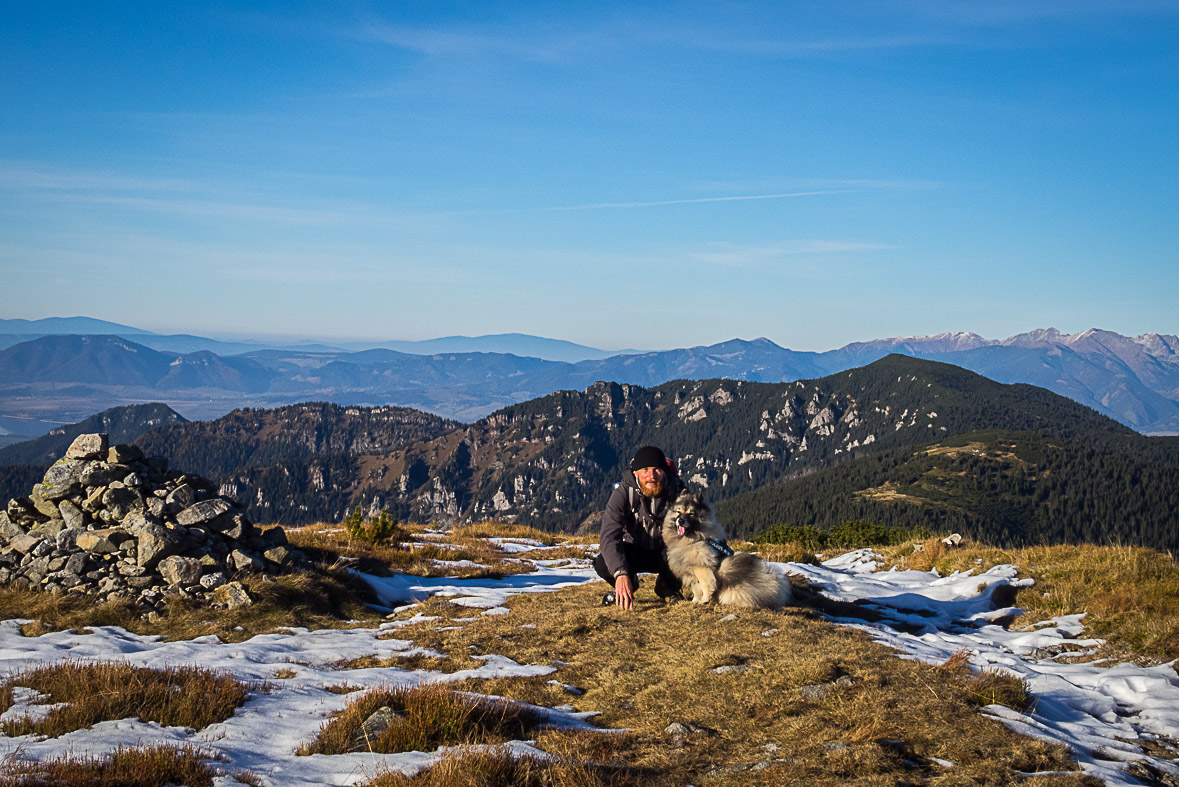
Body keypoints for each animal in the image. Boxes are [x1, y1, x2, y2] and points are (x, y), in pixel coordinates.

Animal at [664, 492, 792, 607]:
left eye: (691, 513)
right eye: (678, 511)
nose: (680, 520)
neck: (696, 538)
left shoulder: (701, 568)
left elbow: (706, 585)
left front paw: (704, 600)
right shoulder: (691, 571)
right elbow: (696, 588)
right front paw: (695, 600)